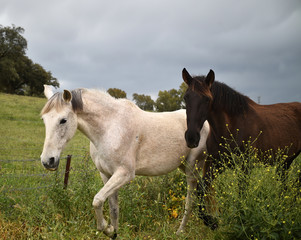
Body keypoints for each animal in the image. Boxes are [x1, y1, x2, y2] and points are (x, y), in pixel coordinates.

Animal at [40, 84, 209, 238]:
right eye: (44, 120)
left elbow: (97, 200)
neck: (110, 128)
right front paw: (114, 232)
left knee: (190, 201)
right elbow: (113, 208)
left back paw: (180, 231)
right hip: (183, 166)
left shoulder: (124, 174)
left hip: (192, 168)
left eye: (63, 120)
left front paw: (107, 229)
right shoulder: (106, 174)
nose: (48, 161)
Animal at [180, 67, 300, 229]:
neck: (232, 126)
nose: (192, 138)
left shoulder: (245, 166)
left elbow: (242, 192)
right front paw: (212, 222)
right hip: (284, 163)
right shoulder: (217, 164)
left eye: (207, 99)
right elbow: (201, 189)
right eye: (186, 98)